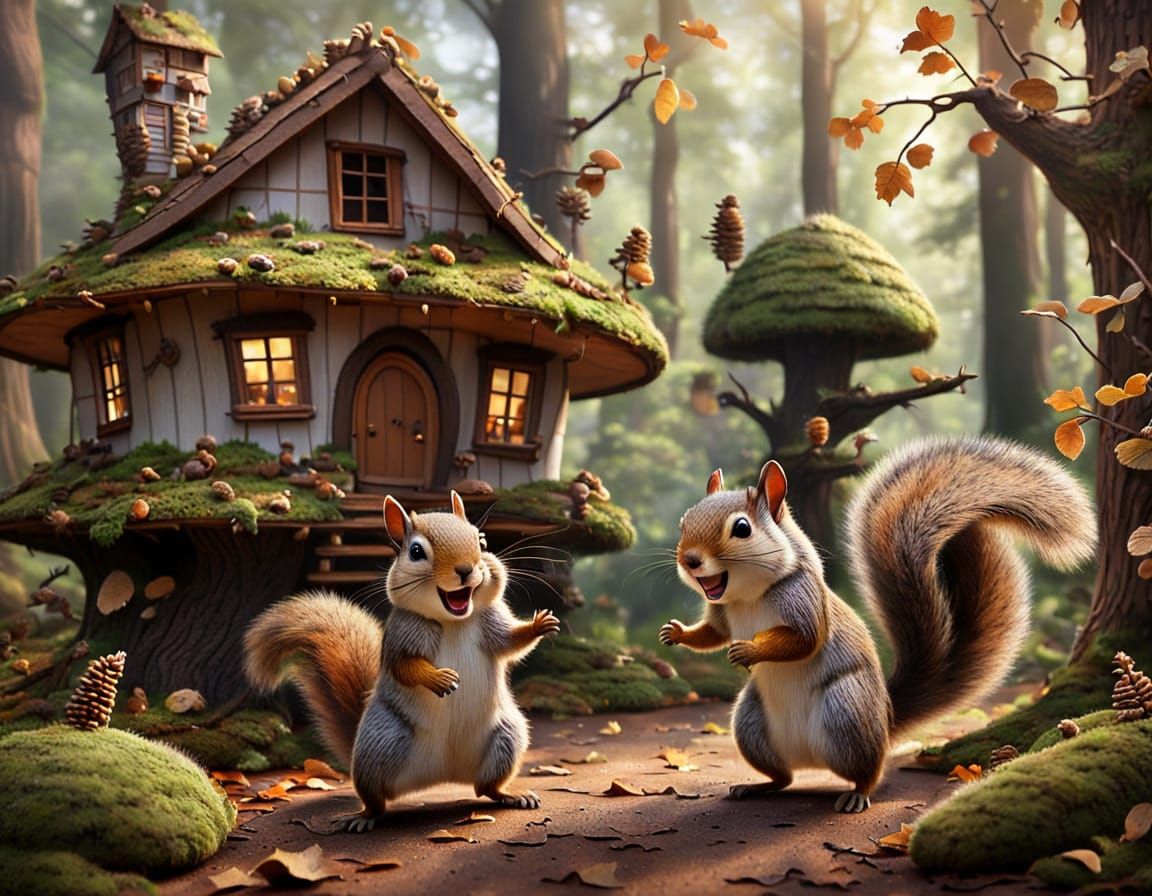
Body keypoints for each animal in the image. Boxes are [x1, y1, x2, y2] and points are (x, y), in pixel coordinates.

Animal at [244, 490, 560, 832]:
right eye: (416, 551)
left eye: (482, 541)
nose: (466, 569)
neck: (453, 621)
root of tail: (442, 776)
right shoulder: (401, 635)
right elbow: (404, 668)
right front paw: (439, 678)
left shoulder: (491, 622)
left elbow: (510, 642)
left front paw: (540, 624)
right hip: (381, 744)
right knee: (376, 800)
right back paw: (362, 817)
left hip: (507, 736)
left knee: (485, 787)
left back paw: (512, 795)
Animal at [660, 436, 1096, 813]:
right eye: (683, 521)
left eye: (742, 528)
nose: (690, 560)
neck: (748, 596)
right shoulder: (722, 611)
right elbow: (713, 634)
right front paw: (677, 632)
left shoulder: (803, 599)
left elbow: (806, 639)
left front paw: (749, 648)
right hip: (750, 723)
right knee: (784, 778)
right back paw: (757, 786)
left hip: (847, 709)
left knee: (870, 770)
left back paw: (856, 794)